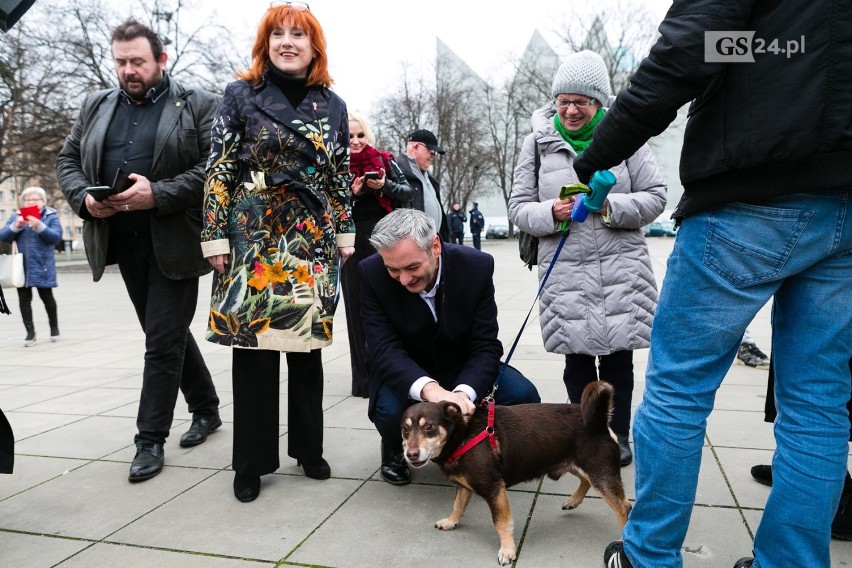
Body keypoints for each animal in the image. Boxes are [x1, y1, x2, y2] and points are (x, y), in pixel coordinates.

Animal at [402, 380, 632, 564]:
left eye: (429, 427)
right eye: (404, 429)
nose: (410, 454)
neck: (461, 435)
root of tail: (600, 420)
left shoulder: (494, 488)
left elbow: (501, 523)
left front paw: (507, 551)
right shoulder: (466, 485)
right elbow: (458, 505)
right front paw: (451, 521)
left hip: (599, 472)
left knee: (623, 507)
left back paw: (624, 538)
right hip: (574, 464)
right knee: (591, 484)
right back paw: (573, 501)